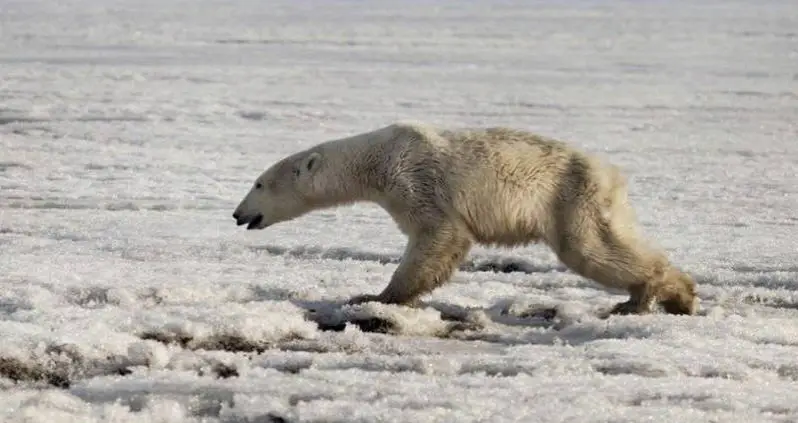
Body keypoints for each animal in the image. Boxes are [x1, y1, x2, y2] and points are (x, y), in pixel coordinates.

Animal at [232, 122, 698, 316]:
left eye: (258, 183)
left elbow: (438, 235)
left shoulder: (415, 180)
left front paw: (375, 296)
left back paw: (653, 296)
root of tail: (612, 174)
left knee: (591, 249)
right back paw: (670, 296)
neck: (377, 159)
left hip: (570, 197)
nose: (238, 215)